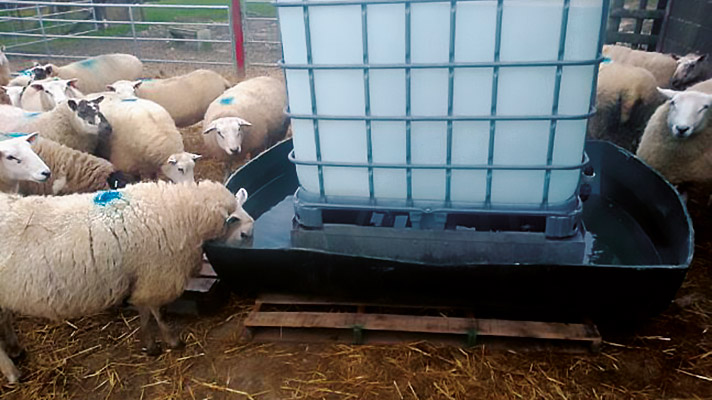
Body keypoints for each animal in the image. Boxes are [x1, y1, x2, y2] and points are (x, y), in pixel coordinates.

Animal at [0, 180, 254, 382]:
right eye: (243, 234)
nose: (250, 250)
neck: (182, 212)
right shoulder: (156, 274)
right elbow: (155, 312)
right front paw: (170, 340)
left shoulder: (144, 275)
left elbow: (144, 310)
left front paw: (150, 344)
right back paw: (12, 373)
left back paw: (15, 349)